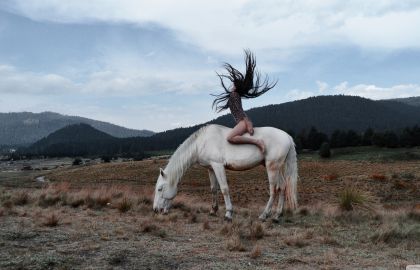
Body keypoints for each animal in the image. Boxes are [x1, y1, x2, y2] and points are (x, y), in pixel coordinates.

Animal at [154, 124, 298, 221]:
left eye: (160, 189)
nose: (156, 210)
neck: (201, 142)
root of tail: (287, 136)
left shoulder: (218, 165)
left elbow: (224, 189)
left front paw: (228, 213)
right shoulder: (211, 168)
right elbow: (213, 189)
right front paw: (213, 210)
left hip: (271, 168)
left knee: (274, 190)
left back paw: (264, 215)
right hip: (277, 168)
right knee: (282, 187)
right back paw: (277, 215)